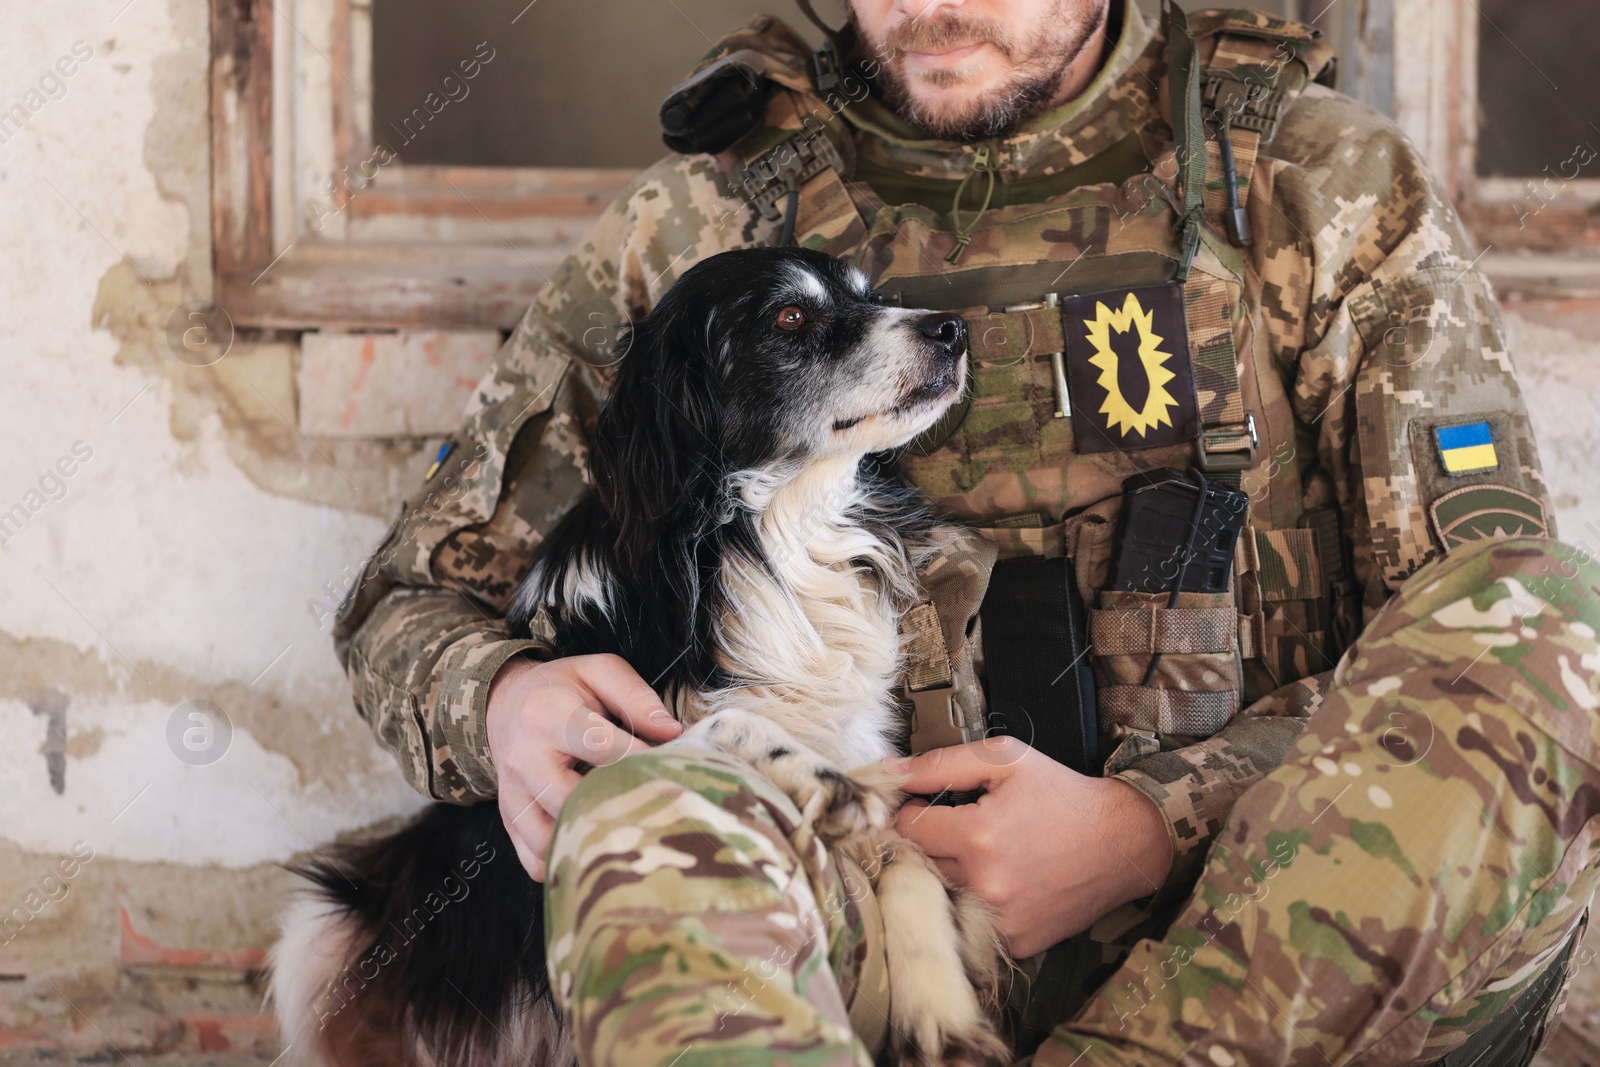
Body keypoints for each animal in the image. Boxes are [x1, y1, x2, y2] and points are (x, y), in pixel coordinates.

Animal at [268, 247, 1004, 1067]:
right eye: (790, 317)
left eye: (872, 295)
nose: (953, 328)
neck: (773, 533)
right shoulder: (597, 730)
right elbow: (716, 729)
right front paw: (813, 776)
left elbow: (911, 862)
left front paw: (938, 1003)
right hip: (315, 934)